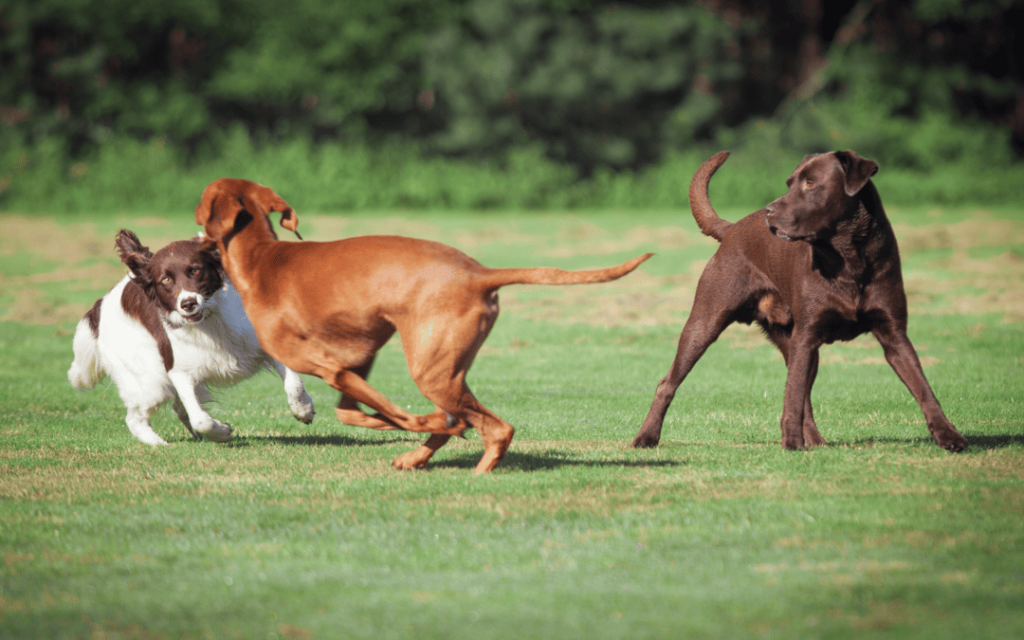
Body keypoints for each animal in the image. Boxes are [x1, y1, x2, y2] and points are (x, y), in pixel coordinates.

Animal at [195, 177, 651, 471]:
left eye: (200, 206)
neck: (262, 258)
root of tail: (479, 273)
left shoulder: (330, 367)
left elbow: (392, 415)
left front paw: (416, 424)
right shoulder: (358, 360)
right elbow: (353, 414)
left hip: (430, 370)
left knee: (494, 427)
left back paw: (471, 463)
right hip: (443, 366)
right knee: (474, 421)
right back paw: (421, 456)